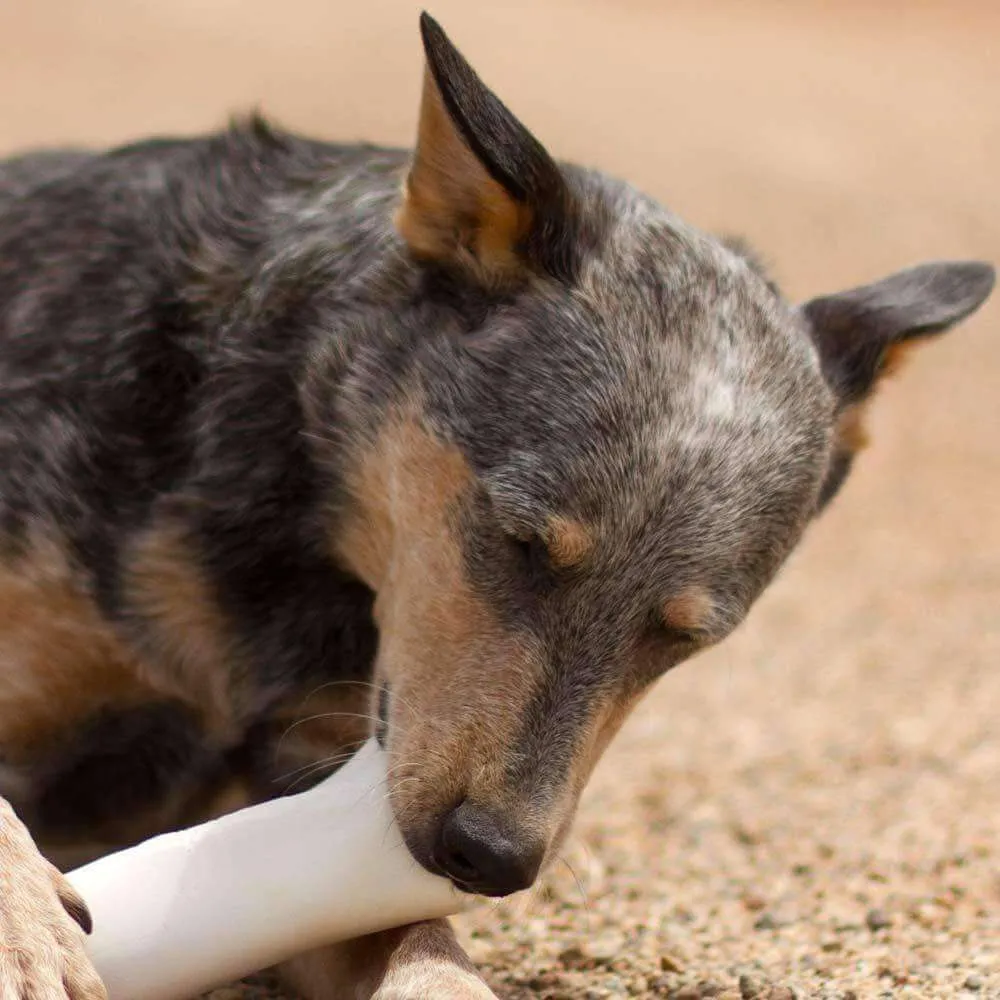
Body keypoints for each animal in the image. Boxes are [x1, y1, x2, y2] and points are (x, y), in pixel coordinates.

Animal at [0, 13, 992, 1000]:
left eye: (686, 637)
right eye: (519, 543)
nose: (491, 857)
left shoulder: (301, 769)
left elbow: (422, 943)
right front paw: (27, 931)